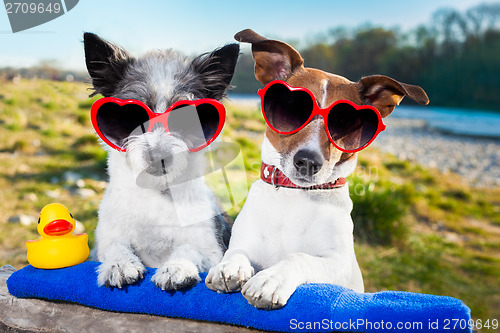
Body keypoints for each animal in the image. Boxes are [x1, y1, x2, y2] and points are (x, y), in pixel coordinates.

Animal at [83, 32, 239, 290]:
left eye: (187, 118)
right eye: (130, 116)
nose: (158, 156)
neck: (155, 193)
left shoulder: (211, 249)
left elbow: (189, 248)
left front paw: (176, 267)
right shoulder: (104, 243)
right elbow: (115, 247)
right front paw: (119, 265)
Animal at [205, 29, 428, 308]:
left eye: (345, 123)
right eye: (291, 108)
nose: (308, 162)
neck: (293, 196)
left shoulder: (338, 263)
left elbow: (299, 257)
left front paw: (271, 280)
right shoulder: (242, 241)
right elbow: (236, 254)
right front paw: (229, 268)